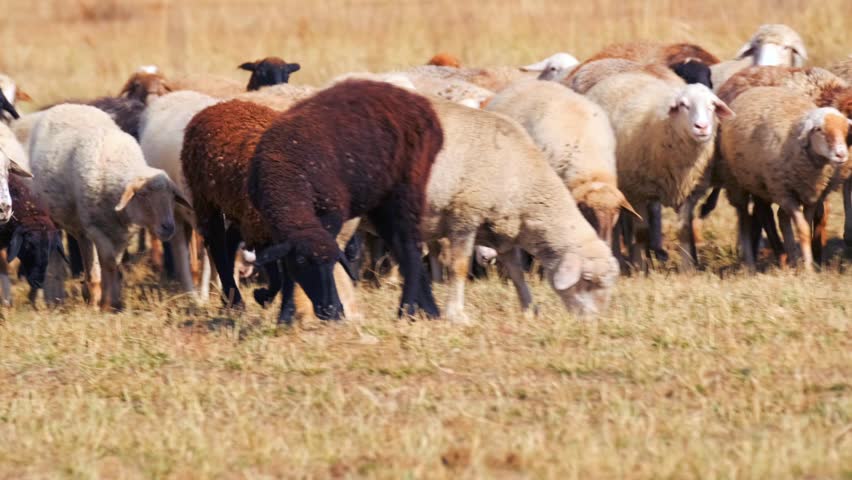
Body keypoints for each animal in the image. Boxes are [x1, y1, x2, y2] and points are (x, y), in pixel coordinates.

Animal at [27, 104, 192, 310]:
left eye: (171, 197)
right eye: (143, 195)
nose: (168, 227)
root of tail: (67, 105)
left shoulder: (122, 233)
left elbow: (115, 262)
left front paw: (112, 300)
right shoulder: (97, 228)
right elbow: (109, 262)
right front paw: (107, 303)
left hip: (80, 224)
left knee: (86, 249)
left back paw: (89, 290)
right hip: (55, 215)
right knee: (57, 255)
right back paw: (56, 297)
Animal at [180, 99, 360, 321]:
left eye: (335, 262)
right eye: (303, 262)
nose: (333, 310)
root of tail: (220, 106)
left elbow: (287, 277)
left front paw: (285, 314)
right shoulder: (261, 233)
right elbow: (277, 276)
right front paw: (264, 297)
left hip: (239, 210)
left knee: (229, 241)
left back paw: (230, 297)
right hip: (206, 199)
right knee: (217, 245)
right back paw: (235, 301)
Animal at [248, 80, 444, 322]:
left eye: (331, 264)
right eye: (302, 262)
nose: (331, 310)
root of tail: (420, 103)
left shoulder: (331, 213)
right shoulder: (278, 226)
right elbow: (287, 268)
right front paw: (284, 315)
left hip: (407, 189)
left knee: (411, 251)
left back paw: (405, 311)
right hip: (382, 202)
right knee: (401, 247)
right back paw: (430, 311)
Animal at [421, 97, 619, 322]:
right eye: (587, 278)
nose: (593, 322)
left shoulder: (504, 231)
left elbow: (516, 272)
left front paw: (530, 309)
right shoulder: (464, 216)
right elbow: (459, 267)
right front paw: (456, 314)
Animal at [583, 71, 735, 269]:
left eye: (712, 105)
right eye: (683, 105)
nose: (702, 127)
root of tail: (620, 76)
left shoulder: (689, 192)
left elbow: (685, 230)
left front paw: (688, 267)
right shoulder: (638, 192)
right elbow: (641, 232)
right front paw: (640, 267)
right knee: (615, 225)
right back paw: (618, 257)